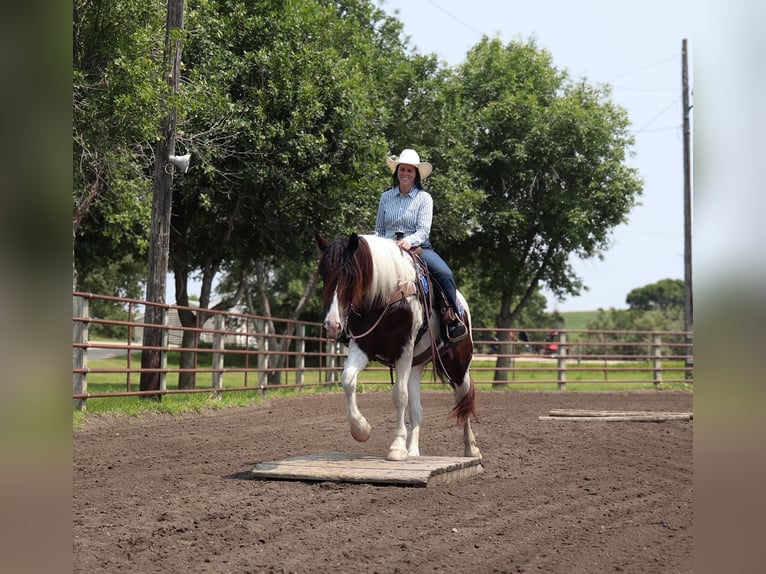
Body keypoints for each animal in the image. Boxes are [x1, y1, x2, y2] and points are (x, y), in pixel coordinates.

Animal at [316, 234, 484, 464]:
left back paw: (471, 448)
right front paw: (361, 429)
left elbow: (399, 395)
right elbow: (348, 380)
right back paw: (413, 451)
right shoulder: (361, 347)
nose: (332, 325)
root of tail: (462, 307)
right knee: (417, 410)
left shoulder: (404, 349)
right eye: (324, 274)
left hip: (458, 366)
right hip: (416, 366)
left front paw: (396, 447)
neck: (387, 295)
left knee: (463, 400)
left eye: (350, 276)